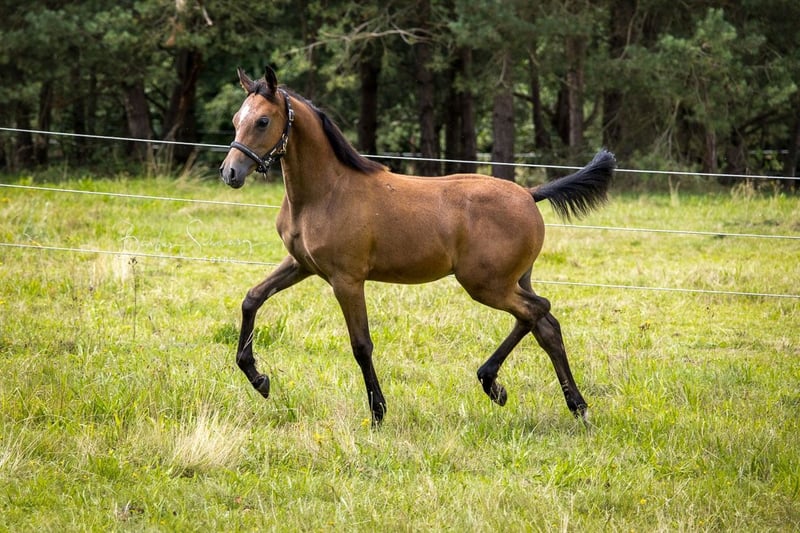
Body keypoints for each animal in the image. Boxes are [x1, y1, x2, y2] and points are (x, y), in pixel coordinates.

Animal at [219, 66, 615, 426]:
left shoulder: (347, 279)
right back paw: (545, 398)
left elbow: (361, 345)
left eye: (263, 121)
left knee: (538, 313)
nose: (230, 173)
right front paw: (258, 378)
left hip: (486, 284)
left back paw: (516, 389)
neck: (326, 192)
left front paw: (378, 413)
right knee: (542, 323)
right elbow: (252, 298)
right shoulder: (301, 264)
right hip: (511, 280)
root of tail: (530, 195)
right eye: (237, 119)